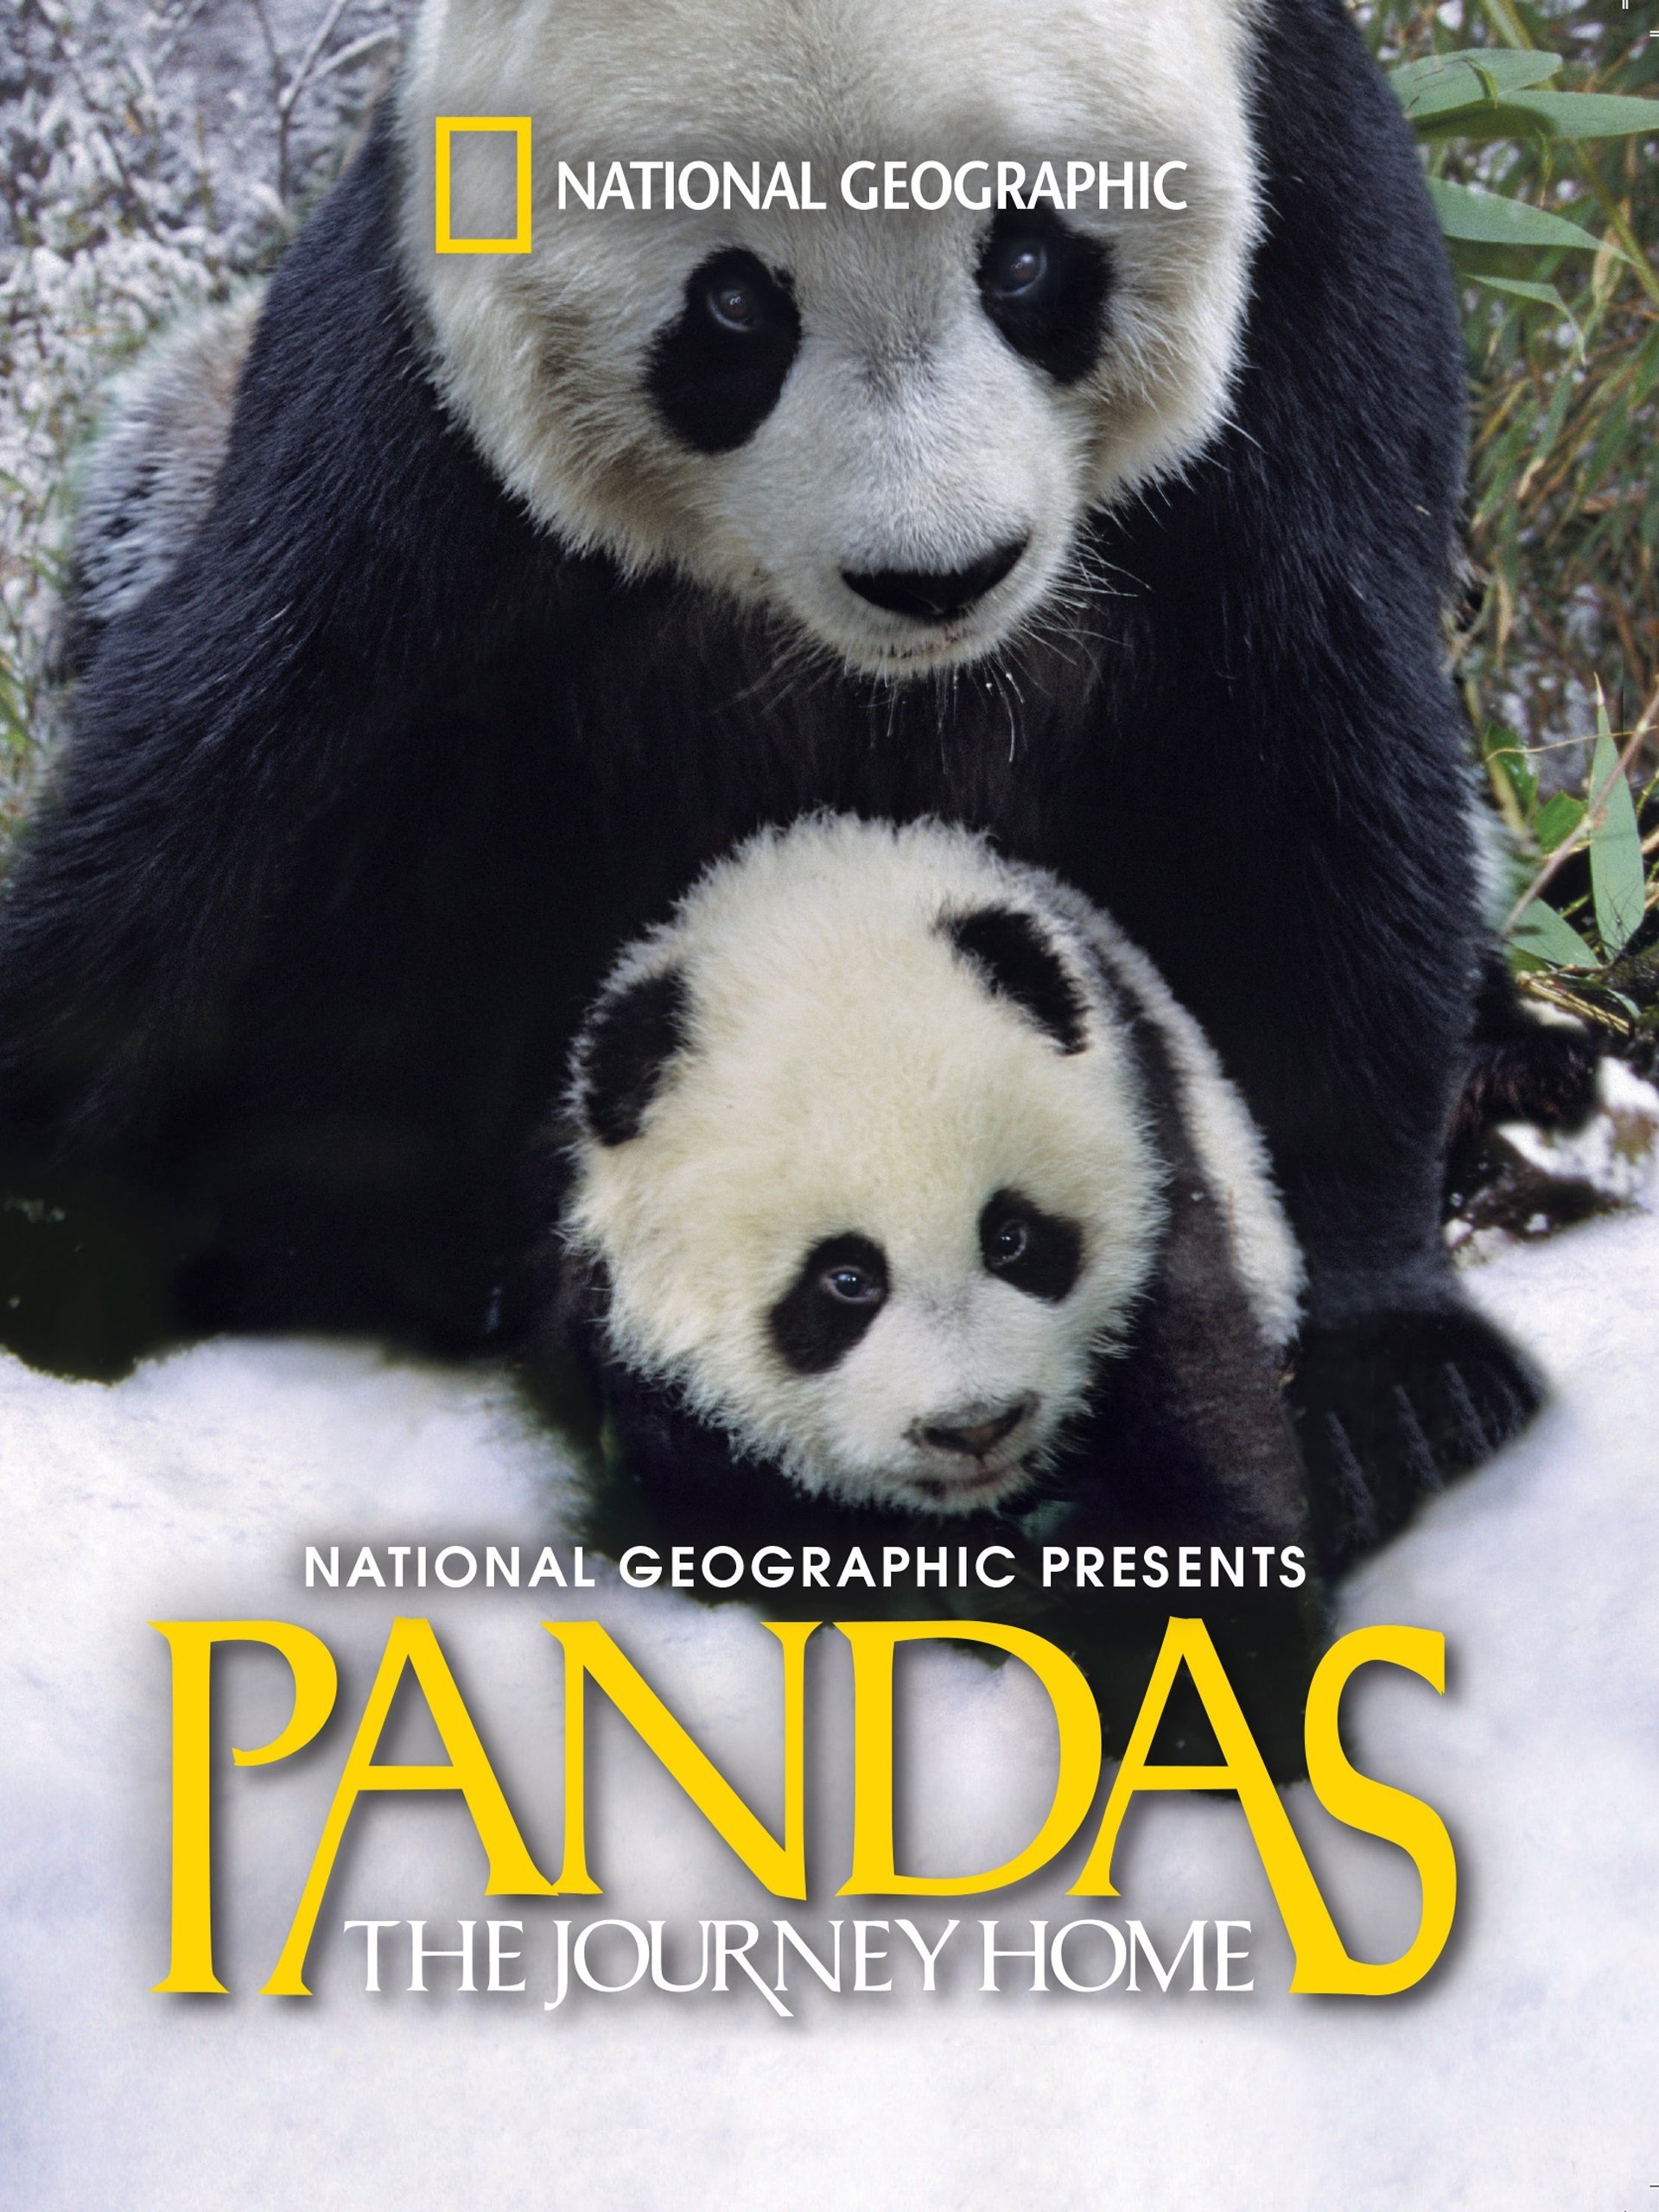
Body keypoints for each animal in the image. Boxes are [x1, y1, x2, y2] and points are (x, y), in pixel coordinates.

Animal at [0, 0, 1555, 1569]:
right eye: (737, 304)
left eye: (1027, 256)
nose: (938, 576)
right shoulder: (421, 365)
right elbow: (238, 760)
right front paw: (55, 1236)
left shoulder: (1312, 256)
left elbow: (1313, 760)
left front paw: (1395, 1379)